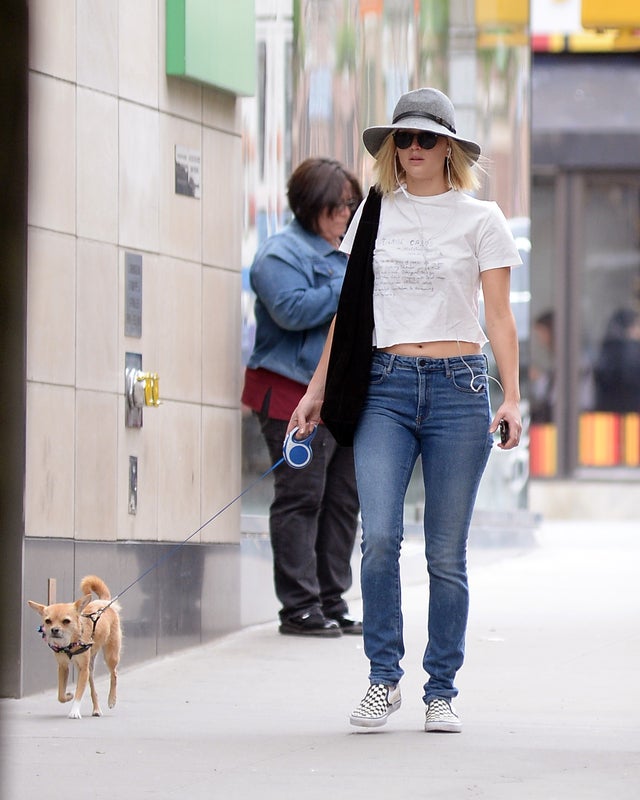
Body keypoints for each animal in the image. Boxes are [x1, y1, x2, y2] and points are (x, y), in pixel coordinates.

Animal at [28, 576, 122, 720]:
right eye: (48, 621)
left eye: (66, 621)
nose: (54, 630)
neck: (69, 644)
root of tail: (104, 602)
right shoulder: (63, 667)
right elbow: (61, 695)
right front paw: (68, 695)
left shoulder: (83, 669)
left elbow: (79, 692)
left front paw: (74, 711)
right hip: (89, 669)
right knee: (93, 689)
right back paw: (96, 709)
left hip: (110, 656)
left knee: (114, 674)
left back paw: (112, 699)